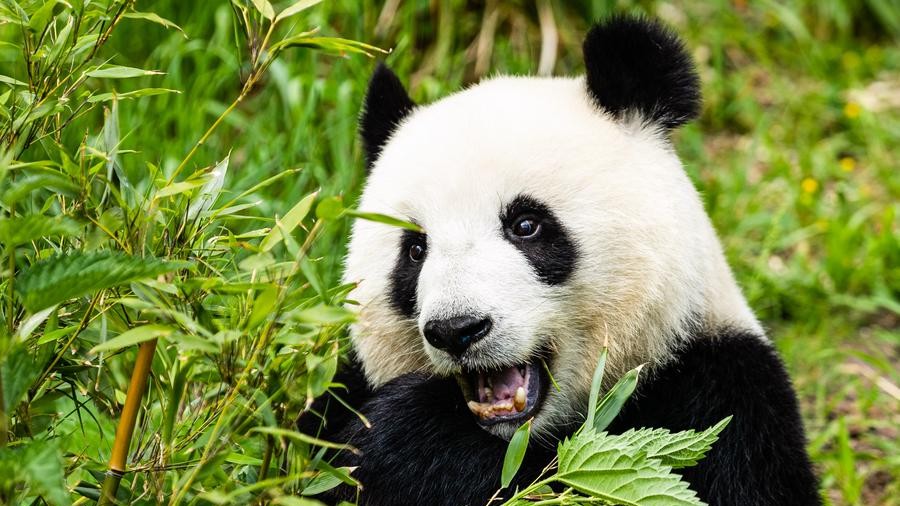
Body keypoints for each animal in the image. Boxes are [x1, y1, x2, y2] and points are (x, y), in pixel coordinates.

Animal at [304, 13, 824, 504]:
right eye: (415, 250)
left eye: (526, 225)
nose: (456, 329)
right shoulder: (341, 387)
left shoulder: (723, 395)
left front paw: (411, 438)